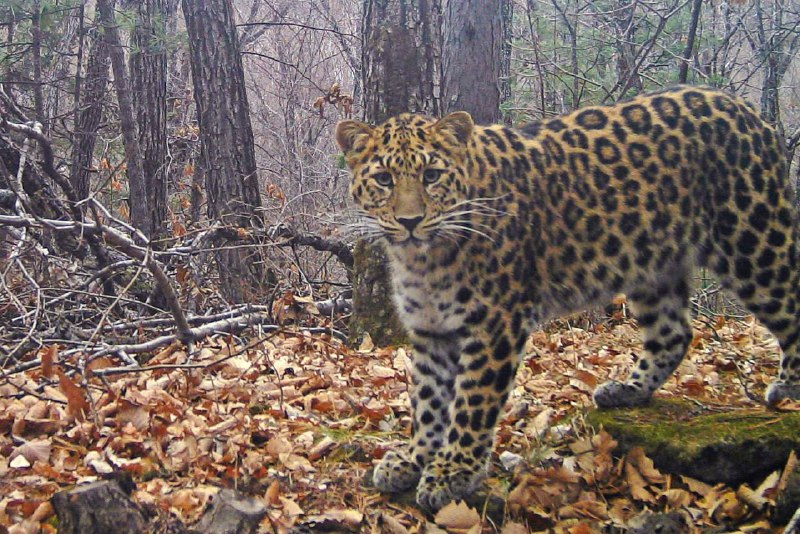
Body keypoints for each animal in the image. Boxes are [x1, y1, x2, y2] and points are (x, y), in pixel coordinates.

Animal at [334, 86, 800, 512]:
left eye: (431, 176)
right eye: (384, 180)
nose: (410, 221)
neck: (424, 258)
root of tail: (748, 111)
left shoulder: (494, 325)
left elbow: (470, 404)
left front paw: (453, 472)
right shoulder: (433, 329)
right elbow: (429, 402)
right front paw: (415, 459)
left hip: (752, 241)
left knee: (790, 301)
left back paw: (788, 388)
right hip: (653, 264)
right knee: (673, 334)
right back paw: (627, 390)